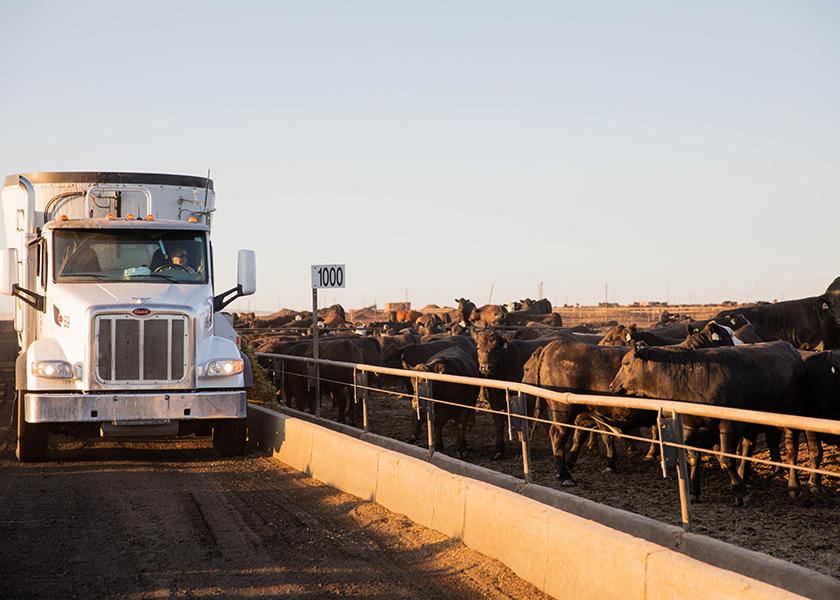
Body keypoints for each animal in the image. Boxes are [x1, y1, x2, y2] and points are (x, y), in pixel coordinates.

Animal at [612, 340, 808, 504]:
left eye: (626, 364)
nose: (612, 386)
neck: (686, 379)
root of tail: (787, 346)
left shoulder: (729, 425)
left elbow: (726, 459)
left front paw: (740, 492)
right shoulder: (690, 429)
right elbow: (694, 459)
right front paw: (693, 491)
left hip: (792, 414)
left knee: (791, 450)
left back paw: (793, 487)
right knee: (748, 446)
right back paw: (744, 476)